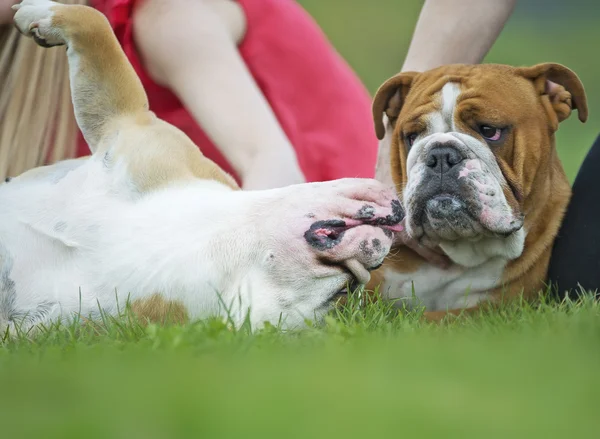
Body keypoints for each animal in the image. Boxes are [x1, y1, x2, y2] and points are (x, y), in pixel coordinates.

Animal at [1, 0, 404, 334]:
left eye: (345, 291)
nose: (378, 257)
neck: (223, 240)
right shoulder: (126, 124)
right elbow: (94, 23)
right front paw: (37, 14)